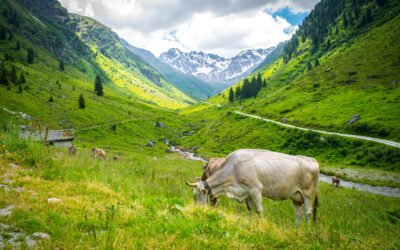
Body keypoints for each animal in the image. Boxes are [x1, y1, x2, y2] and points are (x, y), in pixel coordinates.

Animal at [186, 149, 320, 228]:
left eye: (196, 195)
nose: (195, 210)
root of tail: (312, 160)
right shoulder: (247, 192)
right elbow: (250, 209)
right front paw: (250, 222)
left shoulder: (256, 189)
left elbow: (259, 210)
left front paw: (261, 224)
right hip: (296, 196)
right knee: (299, 214)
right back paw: (296, 230)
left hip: (307, 193)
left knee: (308, 213)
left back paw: (307, 232)